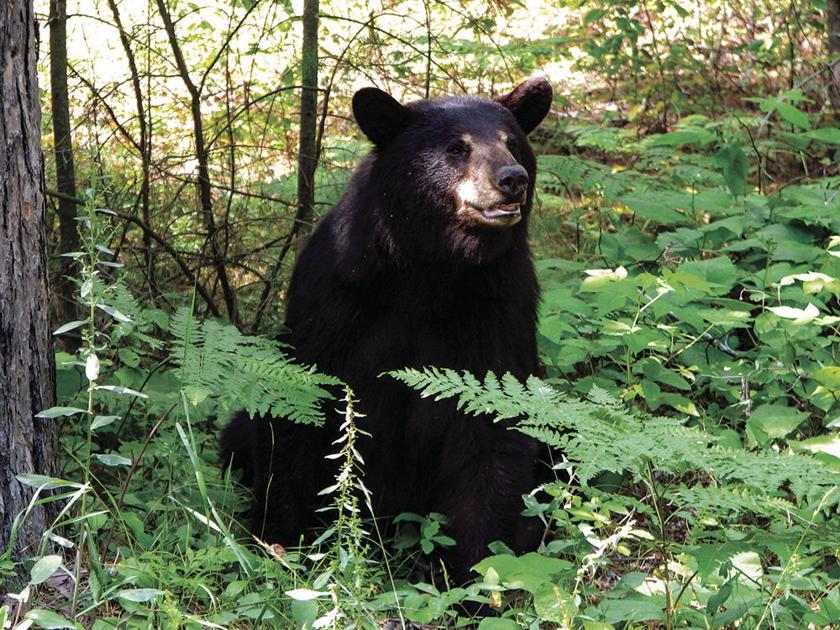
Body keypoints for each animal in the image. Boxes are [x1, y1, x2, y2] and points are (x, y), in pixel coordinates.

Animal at [223, 76, 552, 584]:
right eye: (456, 148)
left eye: (512, 142)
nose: (512, 178)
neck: (432, 269)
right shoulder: (335, 294)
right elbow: (302, 401)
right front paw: (280, 539)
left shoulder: (501, 305)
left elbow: (493, 426)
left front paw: (470, 570)